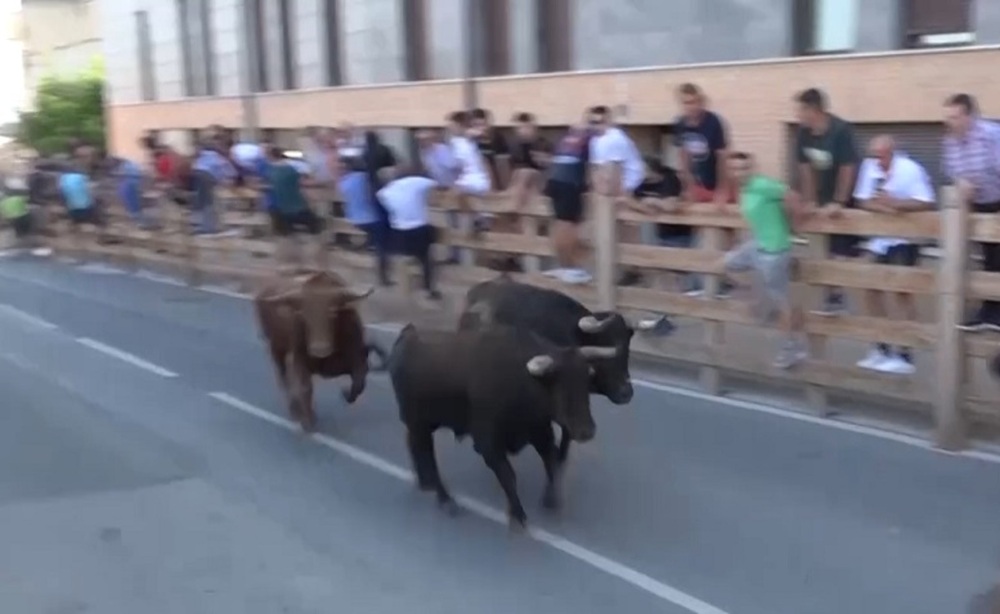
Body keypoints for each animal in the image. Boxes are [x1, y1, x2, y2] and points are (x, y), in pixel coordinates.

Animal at [254, 270, 382, 434]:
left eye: (332, 312)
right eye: (304, 315)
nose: (319, 349)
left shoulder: (356, 359)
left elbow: (359, 381)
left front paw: (346, 393)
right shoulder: (299, 359)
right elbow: (305, 387)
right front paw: (308, 420)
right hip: (276, 348)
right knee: (284, 377)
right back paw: (295, 409)